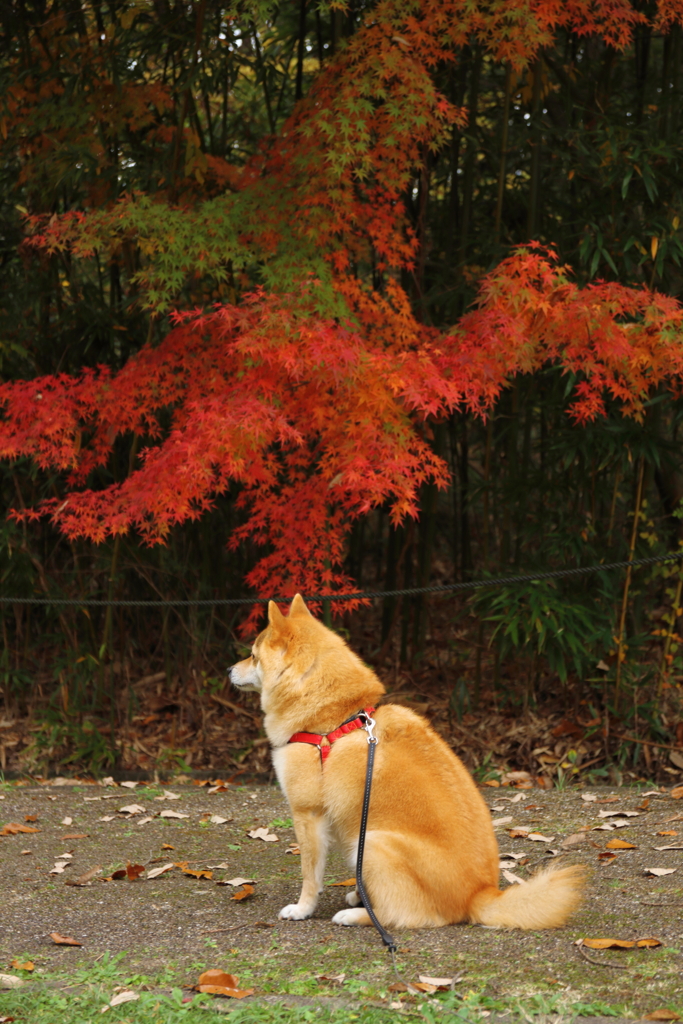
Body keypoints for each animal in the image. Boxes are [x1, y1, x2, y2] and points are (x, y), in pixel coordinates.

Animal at [229, 598, 581, 933]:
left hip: (372, 841)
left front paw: (303, 909)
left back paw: (356, 915)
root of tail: (478, 895)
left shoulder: (308, 813)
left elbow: (310, 875)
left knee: (405, 915)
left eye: (253, 656)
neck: (336, 718)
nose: (230, 669)